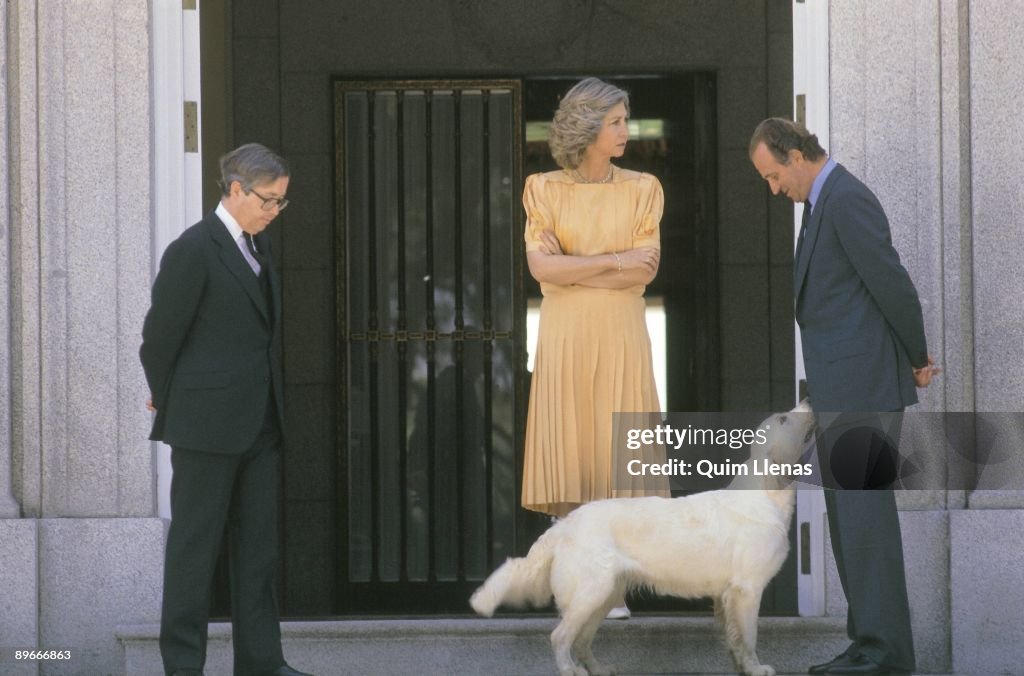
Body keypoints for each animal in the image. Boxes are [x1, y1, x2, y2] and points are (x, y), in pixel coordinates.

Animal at [471, 401, 815, 676]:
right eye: (784, 418)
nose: (808, 399)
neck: (766, 492)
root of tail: (565, 525)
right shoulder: (747, 588)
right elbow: (749, 636)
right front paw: (757, 669)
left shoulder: (726, 594)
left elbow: (734, 638)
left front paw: (742, 667)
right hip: (591, 591)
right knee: (560, 636)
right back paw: (571, 671)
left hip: (604, 594)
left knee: (581, 640)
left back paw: (599, 669)